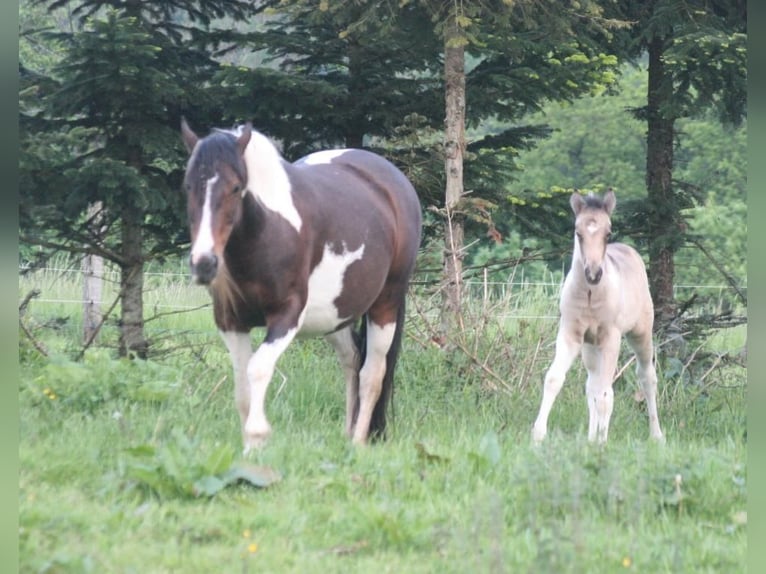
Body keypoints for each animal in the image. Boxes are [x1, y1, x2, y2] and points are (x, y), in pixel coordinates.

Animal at [182, 120, 426, 454]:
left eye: (235, 187)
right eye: (188, 186)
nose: (204, 264)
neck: (267, 233)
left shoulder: (286, 317)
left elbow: (258, 369)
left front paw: (256, 440)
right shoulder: (230, 322)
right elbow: (242, 388)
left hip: (385, 305)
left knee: (372, 374)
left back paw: (358, 443)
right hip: (336, 314)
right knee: (351, 360)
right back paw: (347, 434)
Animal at [536, 191, 664, 448]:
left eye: (608, 233)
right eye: (578, 233)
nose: (593, 274)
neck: (589, 294)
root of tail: (629, 250)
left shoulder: (610, 338)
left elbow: (606, 393)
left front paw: (601, 443)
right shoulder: (571, 335)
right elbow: (554, 379)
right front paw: (537, 435)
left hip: (640, 334)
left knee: (646, 377)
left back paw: (656, 436)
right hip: (590, 346)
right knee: (592, 385)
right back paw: (591, 436)